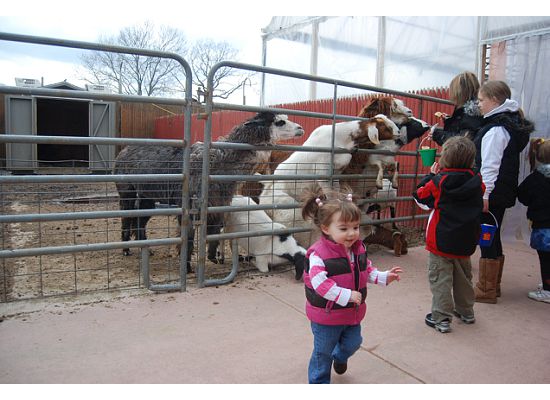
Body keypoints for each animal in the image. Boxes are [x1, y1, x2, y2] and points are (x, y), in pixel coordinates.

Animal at [113, 112, 304, 272]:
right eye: (279, 122)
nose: (301, 128)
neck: (216, 163)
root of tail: (124, 151)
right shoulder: (190, 205)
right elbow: (188, 238)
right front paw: (187, 268)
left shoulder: (217, 203)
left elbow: (214, 232)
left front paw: (214, 258)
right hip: (126, 190)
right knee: (126, 217)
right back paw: (126, 250)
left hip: (147, 195)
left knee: (139, 219)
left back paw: (144, 248)